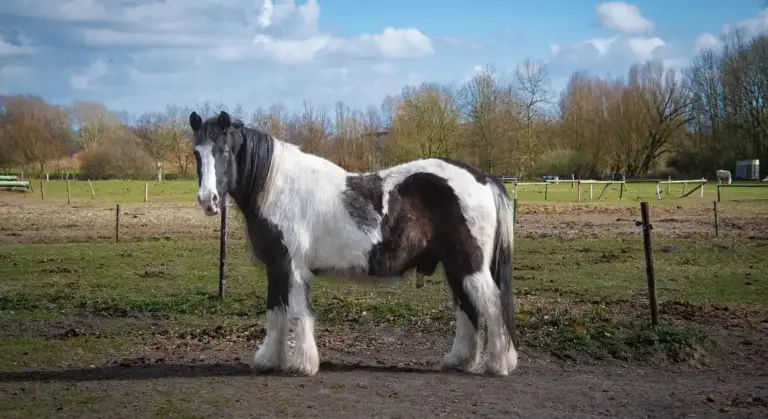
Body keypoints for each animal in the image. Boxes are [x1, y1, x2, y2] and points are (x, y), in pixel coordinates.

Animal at [188, 110, 518, 377]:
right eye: (196, 153)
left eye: (224, 150)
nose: (209, 201)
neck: (279, 188)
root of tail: (483, 178)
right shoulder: (277, 268)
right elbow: (276, 312)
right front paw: (269, 360)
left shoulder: (291, 266)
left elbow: (296, 313)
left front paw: (301, 365)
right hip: (455, 267)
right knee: (467, 307)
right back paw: (459, 361)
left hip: (469, 265)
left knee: (491, 304)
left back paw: (499, 364)